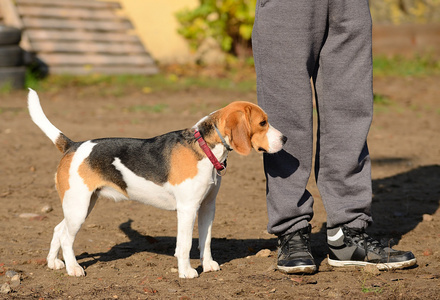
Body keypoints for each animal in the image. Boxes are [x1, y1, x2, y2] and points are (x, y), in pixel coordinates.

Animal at [27, 89, 286, 278]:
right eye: (262, 123)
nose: (285, 138)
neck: (203, 146)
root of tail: (72, 145)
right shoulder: (187, 209)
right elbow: (184, 245)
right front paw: (187, 272)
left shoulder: (207, 207)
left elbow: (206, 240)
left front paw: (208, 264)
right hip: (79, 207)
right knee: (66, 238)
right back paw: (73, 268)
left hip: (81, 204)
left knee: (58, 230)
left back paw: (53, 262)